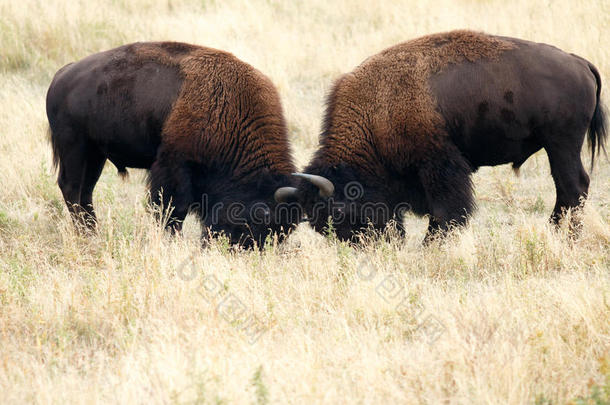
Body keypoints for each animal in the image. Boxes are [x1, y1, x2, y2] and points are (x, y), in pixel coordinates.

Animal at [45, 42, 296, 248]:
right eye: (257, 222)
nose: (240, 248)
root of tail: (62, 75)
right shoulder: (174, 167)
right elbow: (172, 209)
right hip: (75, 147)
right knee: (72, 187)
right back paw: (85, 234)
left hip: (95, 154)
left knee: (86, 191)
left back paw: (92, 232)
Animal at [274, 30, 604, 243]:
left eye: (339, 211)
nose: (370, 243)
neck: (376, 108)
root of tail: (579, 62)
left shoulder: (439, 165)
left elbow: (447, 209)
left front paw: (432, 243)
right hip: (557, 146)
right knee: (568, 188)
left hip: (561, 144)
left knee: (573, 186)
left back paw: (564, 236)